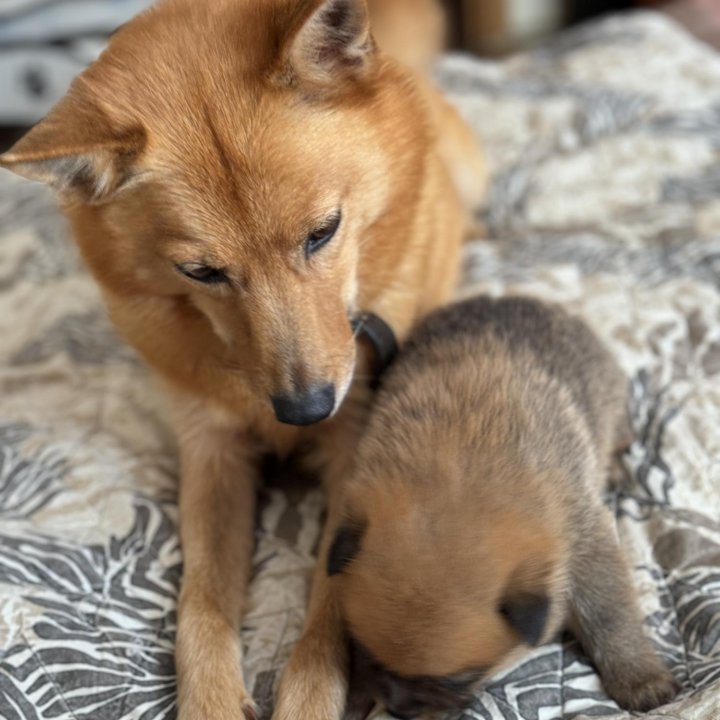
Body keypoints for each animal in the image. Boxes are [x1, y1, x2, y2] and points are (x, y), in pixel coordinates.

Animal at [0, 1, 484, 720]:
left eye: (324, 231)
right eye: (201, 272)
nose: (305, 411)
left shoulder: (353, 456)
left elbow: (330, 604)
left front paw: (308, 697)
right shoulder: (211, 454)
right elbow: (199, 602)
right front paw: (212, 697)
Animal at [330, 296, 676, 716]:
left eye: (455, 682)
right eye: (364, 651)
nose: (398, 709)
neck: (461, 475)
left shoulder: (586, 542)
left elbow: (610, 612)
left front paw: (640, 677)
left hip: (611, 405)